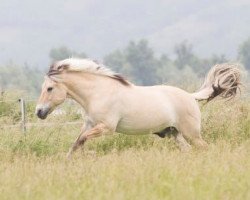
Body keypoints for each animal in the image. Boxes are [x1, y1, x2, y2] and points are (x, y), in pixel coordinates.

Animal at [35, 57, 240, 158]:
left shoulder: (106, 128)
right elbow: (76, 143)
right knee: (189, 150)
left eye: (49, 88)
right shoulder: (89, 124)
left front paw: (89, 154)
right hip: (175, 133)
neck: (98, 92)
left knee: (204, 148)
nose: (39, 112)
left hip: (192, 134)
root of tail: (191, 96)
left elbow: (83, 141)